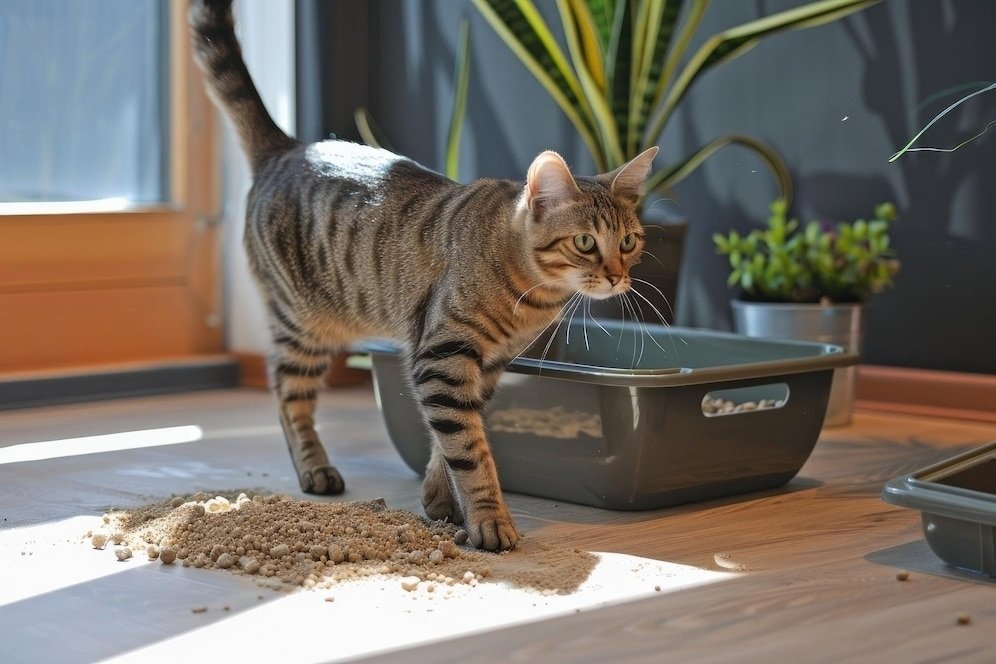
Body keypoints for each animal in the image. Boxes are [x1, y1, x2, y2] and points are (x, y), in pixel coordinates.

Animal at [190, 0, 656, 548]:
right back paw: (314, 469)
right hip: (303, 325)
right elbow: (470, 451)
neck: (529, 294)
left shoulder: (482, 366)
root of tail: (288, 146)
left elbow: (448, 440)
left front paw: (440, 501)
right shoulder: (443, 354)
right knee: (288, 398)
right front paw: (490, 520)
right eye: (585, 243)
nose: (617, 276)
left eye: (628, 242)